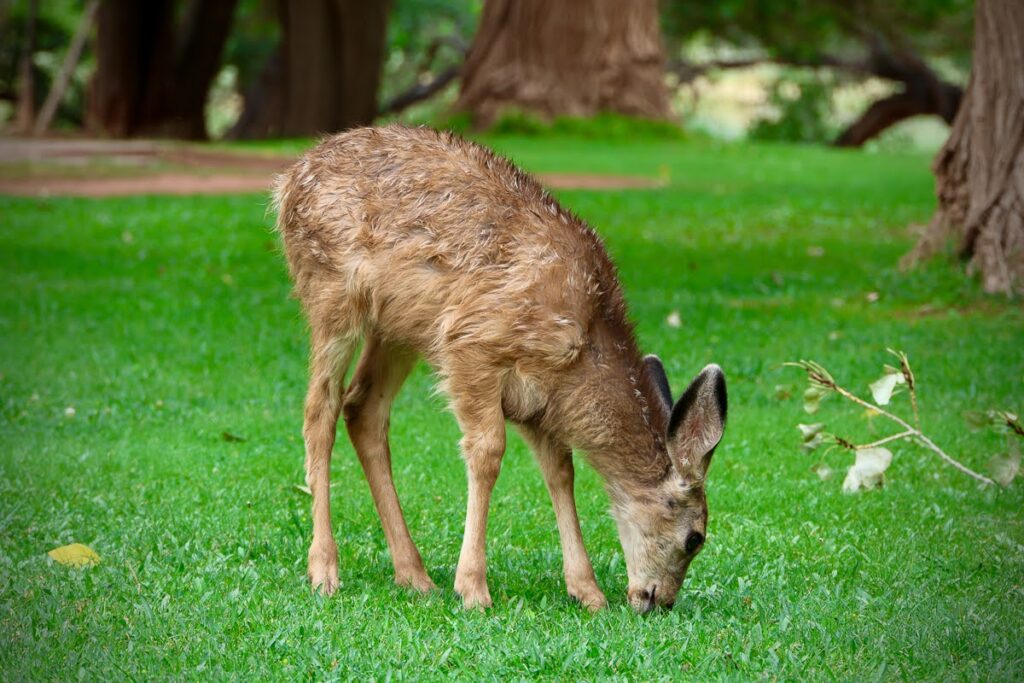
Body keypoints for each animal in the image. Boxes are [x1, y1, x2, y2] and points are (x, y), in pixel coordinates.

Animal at [274, 124, 729, 614]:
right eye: (695, 538)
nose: (658, 601)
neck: (584, 347)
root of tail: (288, 180)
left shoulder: (541, 402)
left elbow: (561, 472)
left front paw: (587, 591)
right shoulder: (471, 343)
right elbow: (488, 452)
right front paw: (473, 587)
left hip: (397, 327)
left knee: (363, 407)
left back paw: (414, 575)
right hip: (330, 290)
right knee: (320, 408)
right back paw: (325, 569)